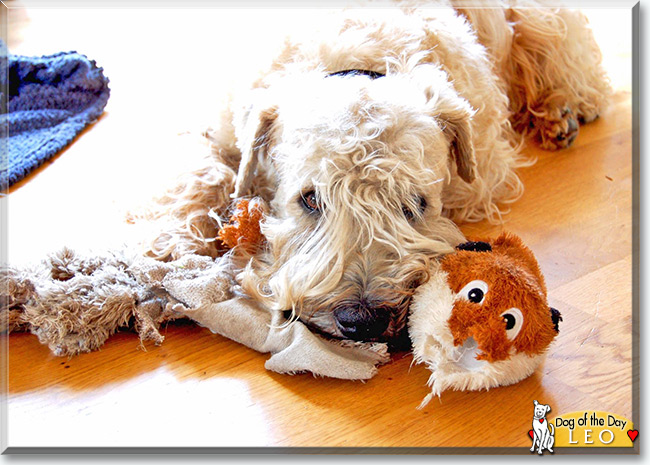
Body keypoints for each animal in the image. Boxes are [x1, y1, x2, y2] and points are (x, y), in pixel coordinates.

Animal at [140, 1, 608, 346]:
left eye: (416, 203)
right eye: (310, 198)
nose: (362, 319)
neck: (355, 60)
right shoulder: (220, 128)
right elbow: (204, 174)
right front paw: (171, 250)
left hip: (540, 22)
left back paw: (561, 109)